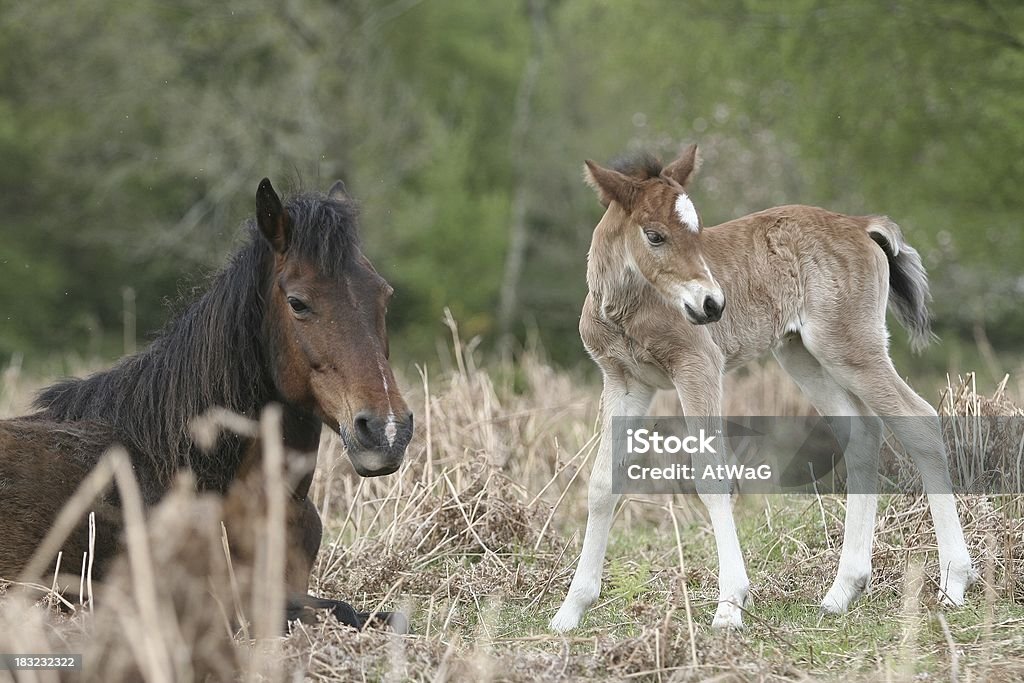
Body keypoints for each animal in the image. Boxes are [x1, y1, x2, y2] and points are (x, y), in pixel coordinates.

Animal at [552, 147, 974, 634]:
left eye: (698, 229)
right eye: (654, 235)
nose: (712, 304)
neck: (627, 307)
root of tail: (859, 224)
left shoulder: (698, 367)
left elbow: (710, 475)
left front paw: (730, 606)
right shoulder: (624, 381)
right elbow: (603, 483)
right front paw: (570, 610)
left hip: (849, 348)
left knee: (919, 420)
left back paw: (954, 583)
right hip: (801, 355)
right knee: (863, 434)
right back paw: (842, 590)